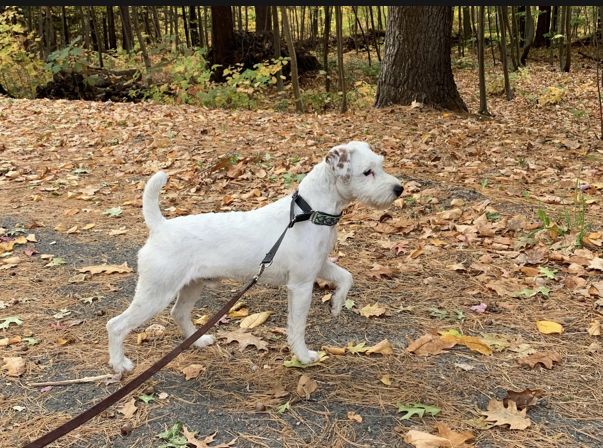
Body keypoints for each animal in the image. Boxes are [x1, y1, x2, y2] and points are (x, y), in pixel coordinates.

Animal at [107, 142, 404, 372]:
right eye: (367, 172)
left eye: (380, 164)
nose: (399, 189)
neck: (309, 212)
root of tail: (160, 226)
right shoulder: (301, 285)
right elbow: (297, 326)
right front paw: (303, 356)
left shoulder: (320, 266)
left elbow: (346, 277)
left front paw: (337, 304)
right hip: (155, 293)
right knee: (116, 325)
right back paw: (120, 364)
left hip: (192, 285)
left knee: (178, 314)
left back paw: (198, 341)